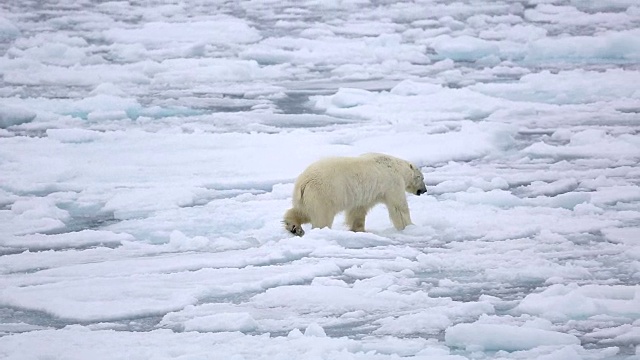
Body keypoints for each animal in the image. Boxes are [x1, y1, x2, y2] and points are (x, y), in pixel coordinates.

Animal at [282, 153, 428, 235]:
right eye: (421, 177)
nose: (425, 190)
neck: (396, 166)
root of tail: (304, 181)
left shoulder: (364, 196)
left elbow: (358, 211)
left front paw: (359, 229)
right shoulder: (392, 183)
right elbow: (399, 207)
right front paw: (410, 227)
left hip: (306, 197)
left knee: (302, 211)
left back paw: (294, 227)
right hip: (324, 194)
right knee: (322, 216)